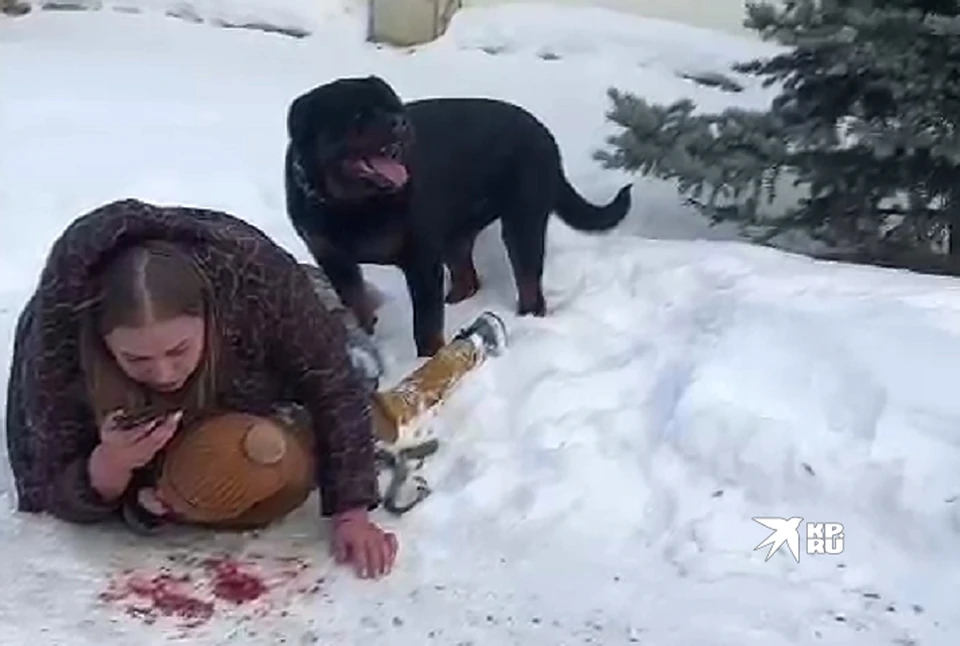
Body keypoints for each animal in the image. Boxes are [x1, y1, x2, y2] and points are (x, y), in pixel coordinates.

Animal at [282, 78, 632, 360]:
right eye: (357, 115)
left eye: (392, 106)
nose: (400, 122)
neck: (351, 206)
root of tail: (546, 135)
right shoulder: (333, 260)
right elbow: (356, 303)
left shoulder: (420, 259)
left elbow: (425, 324)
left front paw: (428, 361)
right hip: (456, 230)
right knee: (467, 275)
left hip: (522, 221)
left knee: (528, 280)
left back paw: (526, 316)